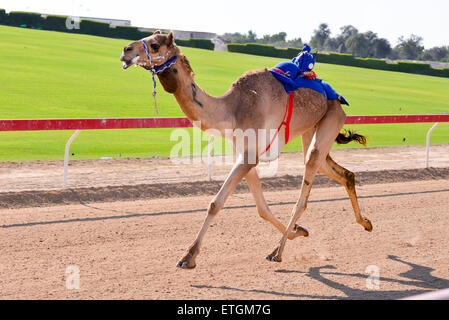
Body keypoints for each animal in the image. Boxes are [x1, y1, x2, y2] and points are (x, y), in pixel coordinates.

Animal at [118, 31, 372, 268]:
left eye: (154, 44)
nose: (125, 51)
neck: (231, 110)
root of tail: (336, 98)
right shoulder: (246, 154)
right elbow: (261, 208)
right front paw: (298, 231)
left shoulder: (249, 156)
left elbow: (216, 203)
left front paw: (188, 257)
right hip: (313, 128)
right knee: (340, 171)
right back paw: (365, 222)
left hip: (333, 118)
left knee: (308, 180)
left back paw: (277, 252)